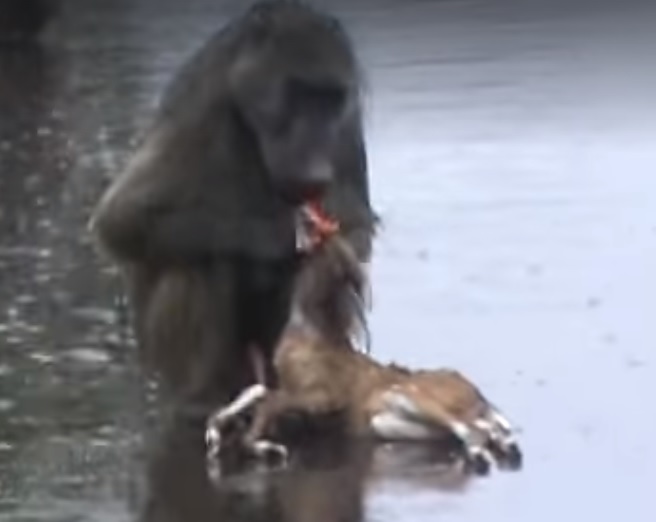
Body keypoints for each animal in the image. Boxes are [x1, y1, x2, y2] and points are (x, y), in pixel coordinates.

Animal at [89, 1, 377, 418]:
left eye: (328, 100)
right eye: (299, 95)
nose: (314, 170)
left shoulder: (347, 120)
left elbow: (354, 225)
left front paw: (322, 270)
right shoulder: (205, 107)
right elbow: (122, 218)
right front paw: (280, 236)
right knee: (199, 264)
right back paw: (203, 399)